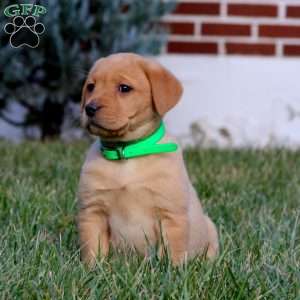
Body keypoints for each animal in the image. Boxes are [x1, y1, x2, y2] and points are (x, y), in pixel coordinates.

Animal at [77, 52, 218, 264]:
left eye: (124, 88)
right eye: (91, 86)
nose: (89, 108)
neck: (127, 152)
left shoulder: (170, 216)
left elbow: (173, 252)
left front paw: (173, 270)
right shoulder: (93, 211)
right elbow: (93, 249)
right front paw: (92, 268)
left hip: (211, 229)